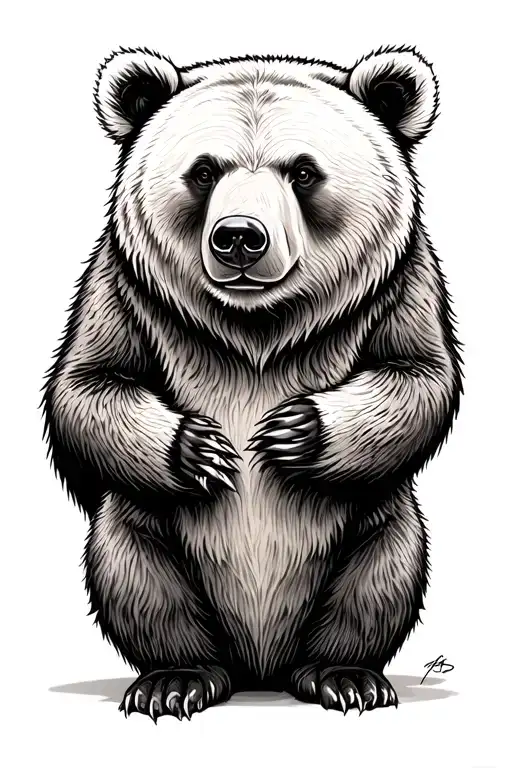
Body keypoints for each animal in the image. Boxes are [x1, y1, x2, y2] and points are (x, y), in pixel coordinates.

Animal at [42, 45, 462, 721]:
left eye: (303, 172)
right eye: (204, 171)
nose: (239, 236)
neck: (259, 324)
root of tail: (260, 666)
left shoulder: (399, 284)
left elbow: (416, 375)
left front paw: (289, 432)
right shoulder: (126, 288)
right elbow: (89, 383)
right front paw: (206, 449)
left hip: (370, 524)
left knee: (384, 571)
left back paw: (343, 674)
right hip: (151, 533)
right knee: (133, 569)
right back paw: (177, 677)